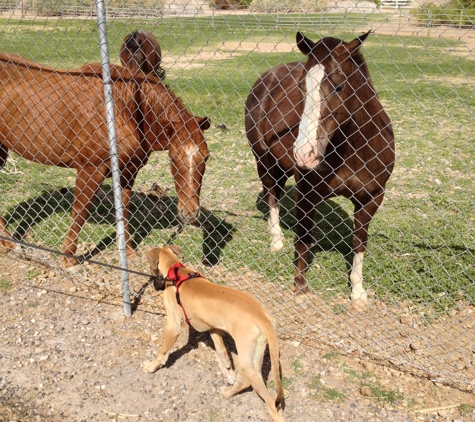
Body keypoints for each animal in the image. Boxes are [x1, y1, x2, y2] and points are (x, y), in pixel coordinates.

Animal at [0, 53, 210, 268]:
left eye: (206, 156)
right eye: (173, 157)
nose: (189, 213)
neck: (126, 111)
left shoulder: (128, 173)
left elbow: (124, 212)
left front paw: (129, 252)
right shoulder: (90, 170)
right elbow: (80, 212)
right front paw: (69, 257)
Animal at [144, 246, 286, 420]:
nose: (154, 286)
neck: (176, 271)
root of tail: (261, 314)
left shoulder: (174, 326)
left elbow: (162, 351)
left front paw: (151, 366)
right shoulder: (213, 327)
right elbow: (222, 352)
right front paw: (228, 372)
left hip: (247, 357)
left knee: (267, 398)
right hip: (254, 356)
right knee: (247, 379)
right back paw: (228, 392)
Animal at [245, 32, 394, 310]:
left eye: (338, 86)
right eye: (302, 88)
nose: (304, 154)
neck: (352, 150)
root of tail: (266, 77)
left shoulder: (371, 198)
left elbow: (360, 241)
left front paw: (358, 291)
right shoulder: (307, 193)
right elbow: (304, 238)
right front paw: (300, 287)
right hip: (264, 161)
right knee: (271, 194)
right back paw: (276, 239)